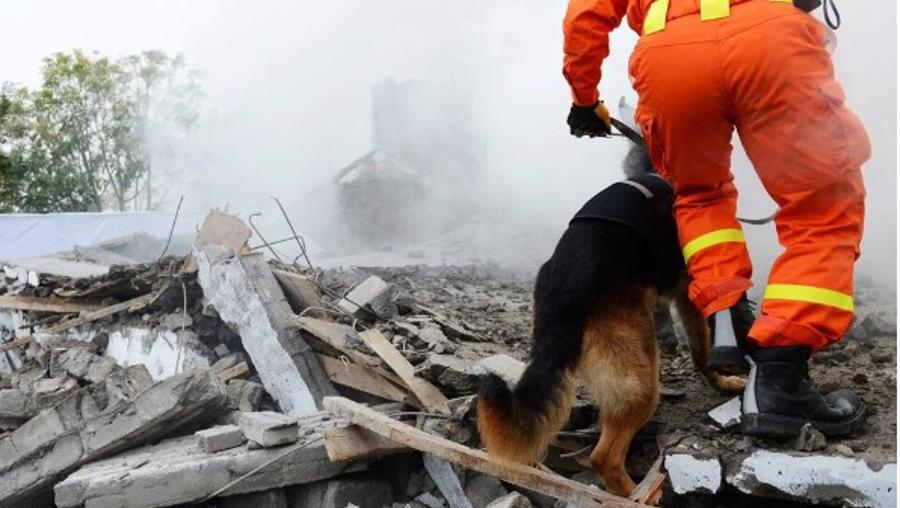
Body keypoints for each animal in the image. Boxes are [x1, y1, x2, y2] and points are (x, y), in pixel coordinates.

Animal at [478, 140, 744, 496]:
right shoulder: (688, 291)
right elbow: (702, 348)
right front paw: (721, 380)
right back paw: (638, 494)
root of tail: (562, 294)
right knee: (604, 457)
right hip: (640, 379)